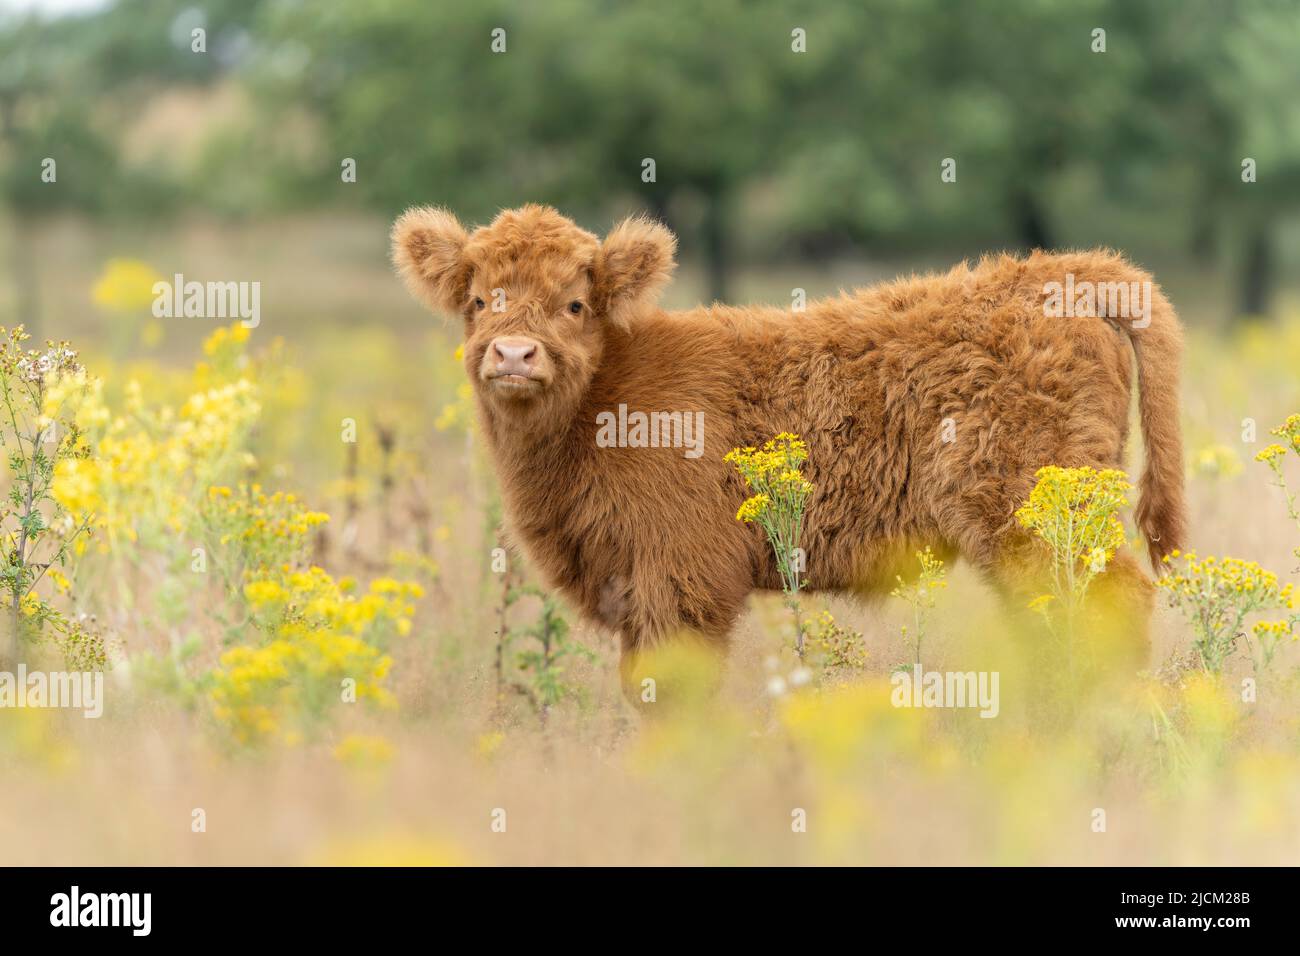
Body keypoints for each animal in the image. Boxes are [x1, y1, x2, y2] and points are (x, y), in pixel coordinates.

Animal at [390, 205, 1185, 707]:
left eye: (574, 304)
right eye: (479, 299)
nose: (514, 354)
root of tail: (1060, 272)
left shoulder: (682, 576)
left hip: (1037, 514)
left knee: (1109, 605)